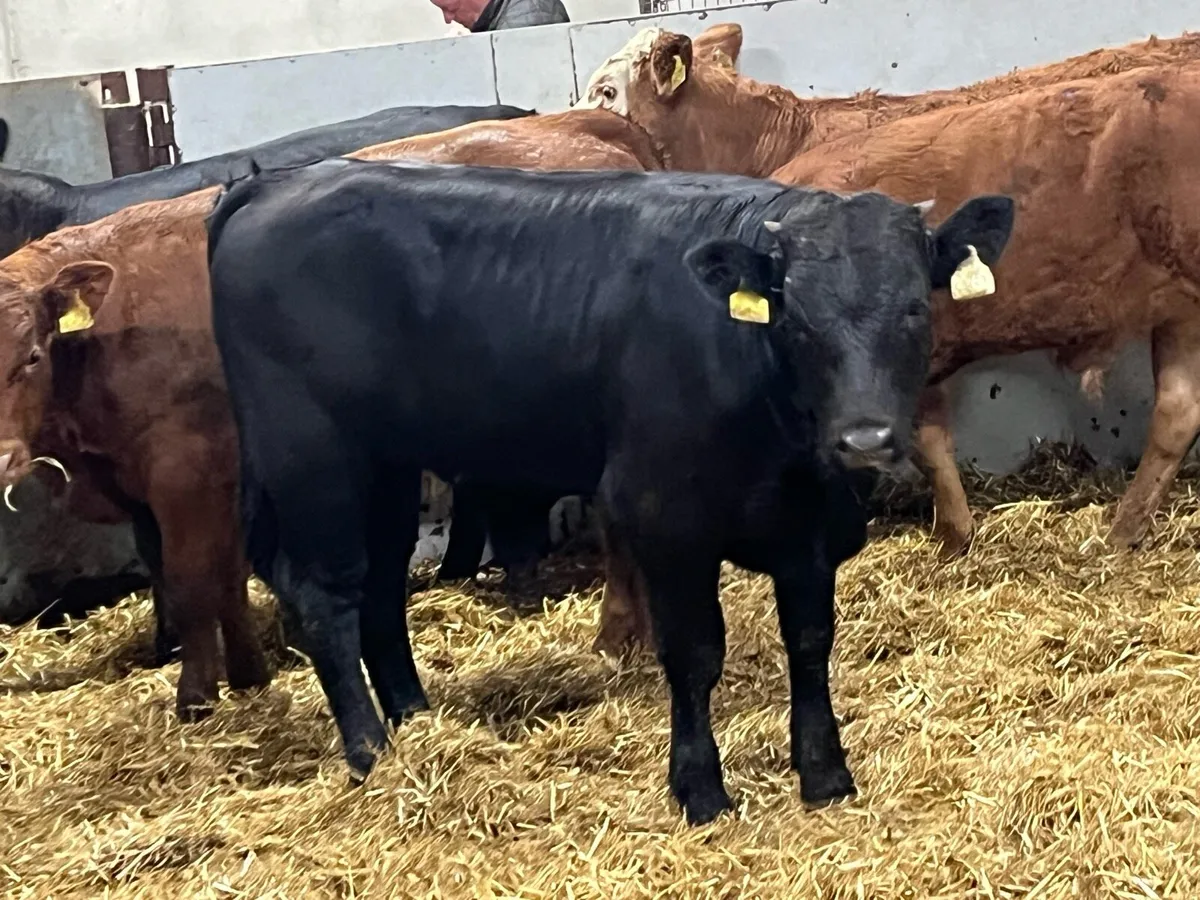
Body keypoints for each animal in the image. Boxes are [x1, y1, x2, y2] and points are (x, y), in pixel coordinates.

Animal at [0, 107, 672, 715]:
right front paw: (246, 673)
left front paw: (195, 697)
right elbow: (206, 580)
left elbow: (192, 582)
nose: (3, 459)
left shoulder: (185, 469)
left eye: (31, 355)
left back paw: (616, 636)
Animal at [205, 157, 1014, 824]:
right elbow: (695, 653)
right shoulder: (667, 519)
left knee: (378, 592)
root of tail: (275, 182)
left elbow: (810, 643)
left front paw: (825, 776)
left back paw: (415, 722)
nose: (865, 440)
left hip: (388, 467)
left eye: (914, 308)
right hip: (314, 461)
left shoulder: (813, 528)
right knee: (328, 598)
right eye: (797, 317)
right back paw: (370, 751)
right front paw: (700, 791)